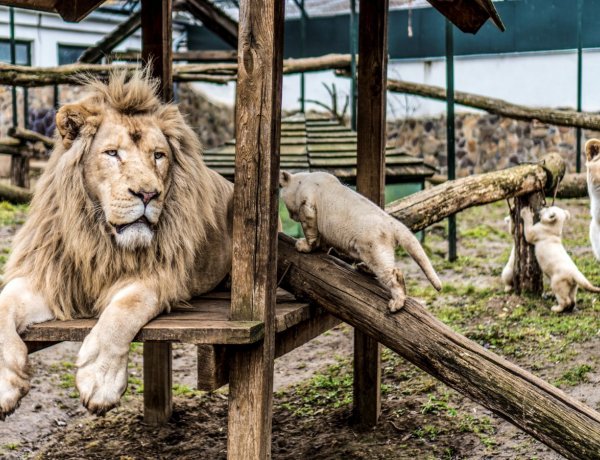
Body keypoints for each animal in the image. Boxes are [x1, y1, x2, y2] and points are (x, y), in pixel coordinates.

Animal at [0, 70, 234, 418]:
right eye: (112, 153)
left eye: (158, 155)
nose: (148, 194)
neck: (100, 237)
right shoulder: (51, 276)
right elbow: (3, 304)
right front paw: (5, 383)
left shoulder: (159, 277)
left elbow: (123, 311)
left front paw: (100, 380)